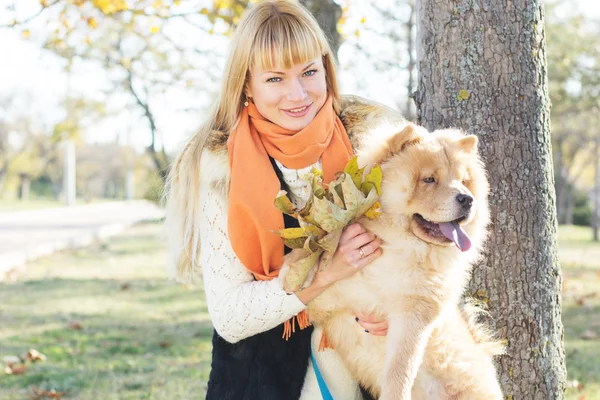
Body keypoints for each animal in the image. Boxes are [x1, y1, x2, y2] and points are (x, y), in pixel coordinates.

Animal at [300, 123, 502, 398]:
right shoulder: (328, 303)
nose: (467, 199)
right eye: (429, 179)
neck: (399, 247)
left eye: (463, 182)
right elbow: (306, 276)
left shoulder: (413, 317)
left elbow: (399, 373)